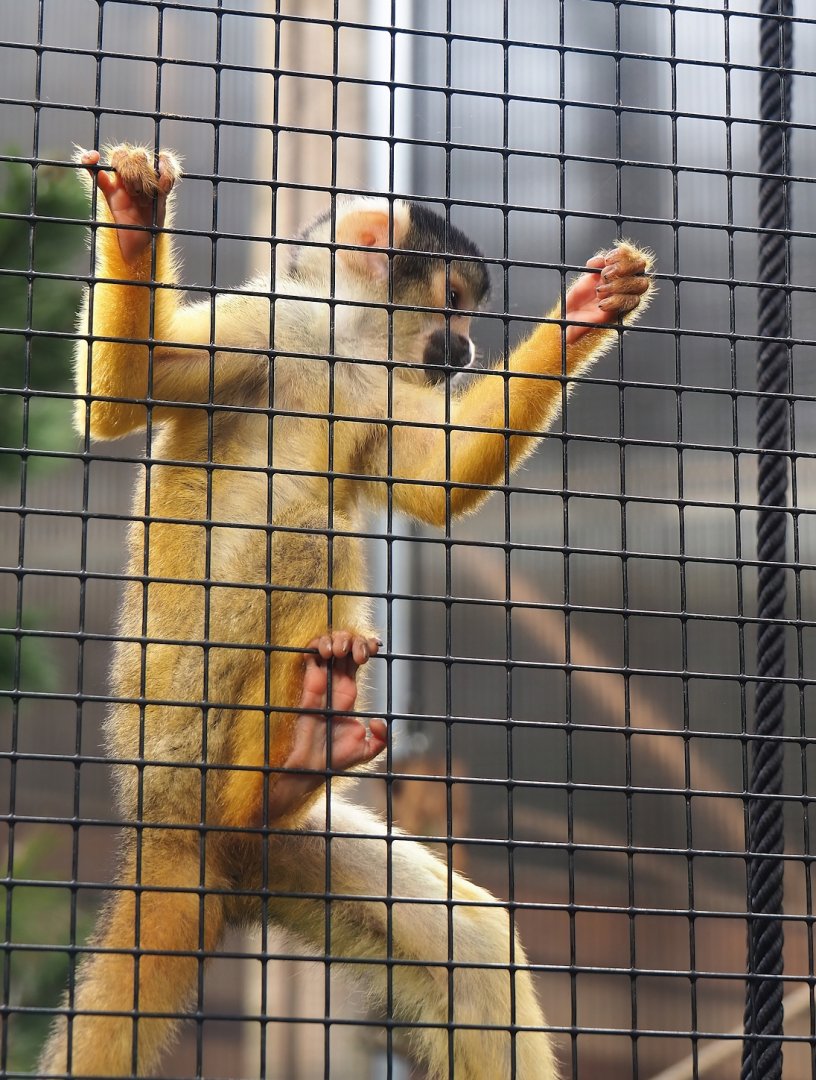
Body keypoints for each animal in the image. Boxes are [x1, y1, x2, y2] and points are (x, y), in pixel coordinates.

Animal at [38, 144, 653, 1080]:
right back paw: (284, 764)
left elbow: (437, 481)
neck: (348, 346)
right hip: (184, 719)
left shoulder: (385, 388)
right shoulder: (273, 323)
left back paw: (292, 777)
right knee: (303, 529)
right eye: (454, 302)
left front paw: (585, 313)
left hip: (291, 851)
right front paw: (136, 217)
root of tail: (168, 831)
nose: (466, 349)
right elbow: (125, 395)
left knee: (473, 949)